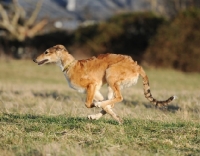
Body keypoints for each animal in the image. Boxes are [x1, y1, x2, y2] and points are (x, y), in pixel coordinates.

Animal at [33, 44, 176, 123]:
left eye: (46, 52)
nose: (34, 59)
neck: (70, 65)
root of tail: (137, 65)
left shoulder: (91, 85)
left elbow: (88, 104)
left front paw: (96, 106)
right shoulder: (94, 90)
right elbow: (107, 106)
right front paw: (116, 118)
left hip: (110, 73)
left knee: (119, 97)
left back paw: (98, 107)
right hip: (110, 84)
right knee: (112, 101)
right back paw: (99, 115)